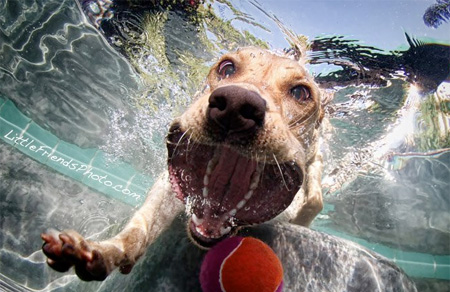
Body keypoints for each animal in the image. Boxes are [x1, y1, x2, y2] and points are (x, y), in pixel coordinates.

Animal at [41, 47, 324, 280]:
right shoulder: (167, 187)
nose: (235, 104)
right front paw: (103, 251)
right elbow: (139, 229)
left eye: (301, 93)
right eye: (227, 67)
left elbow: (313, 201)